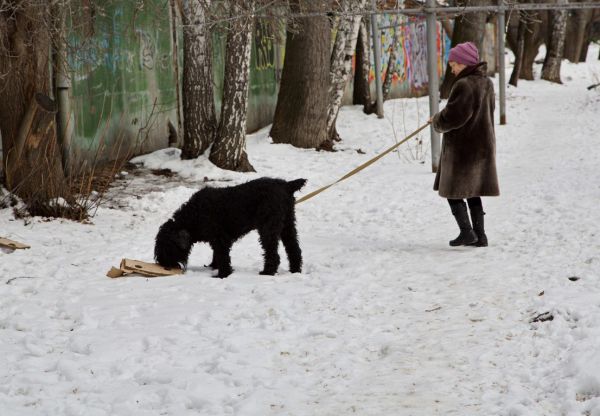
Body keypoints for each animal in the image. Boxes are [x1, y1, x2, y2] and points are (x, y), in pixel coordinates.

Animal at [155, 177, 308, 278]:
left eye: (167, 246)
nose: (163, 264)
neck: (193, 216)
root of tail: (286, 185)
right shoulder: (216, 239)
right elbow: (216, 254)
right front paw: (213, 266)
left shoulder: (220, 238)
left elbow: (223, 256)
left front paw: (222, 274)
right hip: (287, 225)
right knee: (294, 249)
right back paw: (295, 270)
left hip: (268, 228)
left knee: (273, 253)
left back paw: (267, 272)